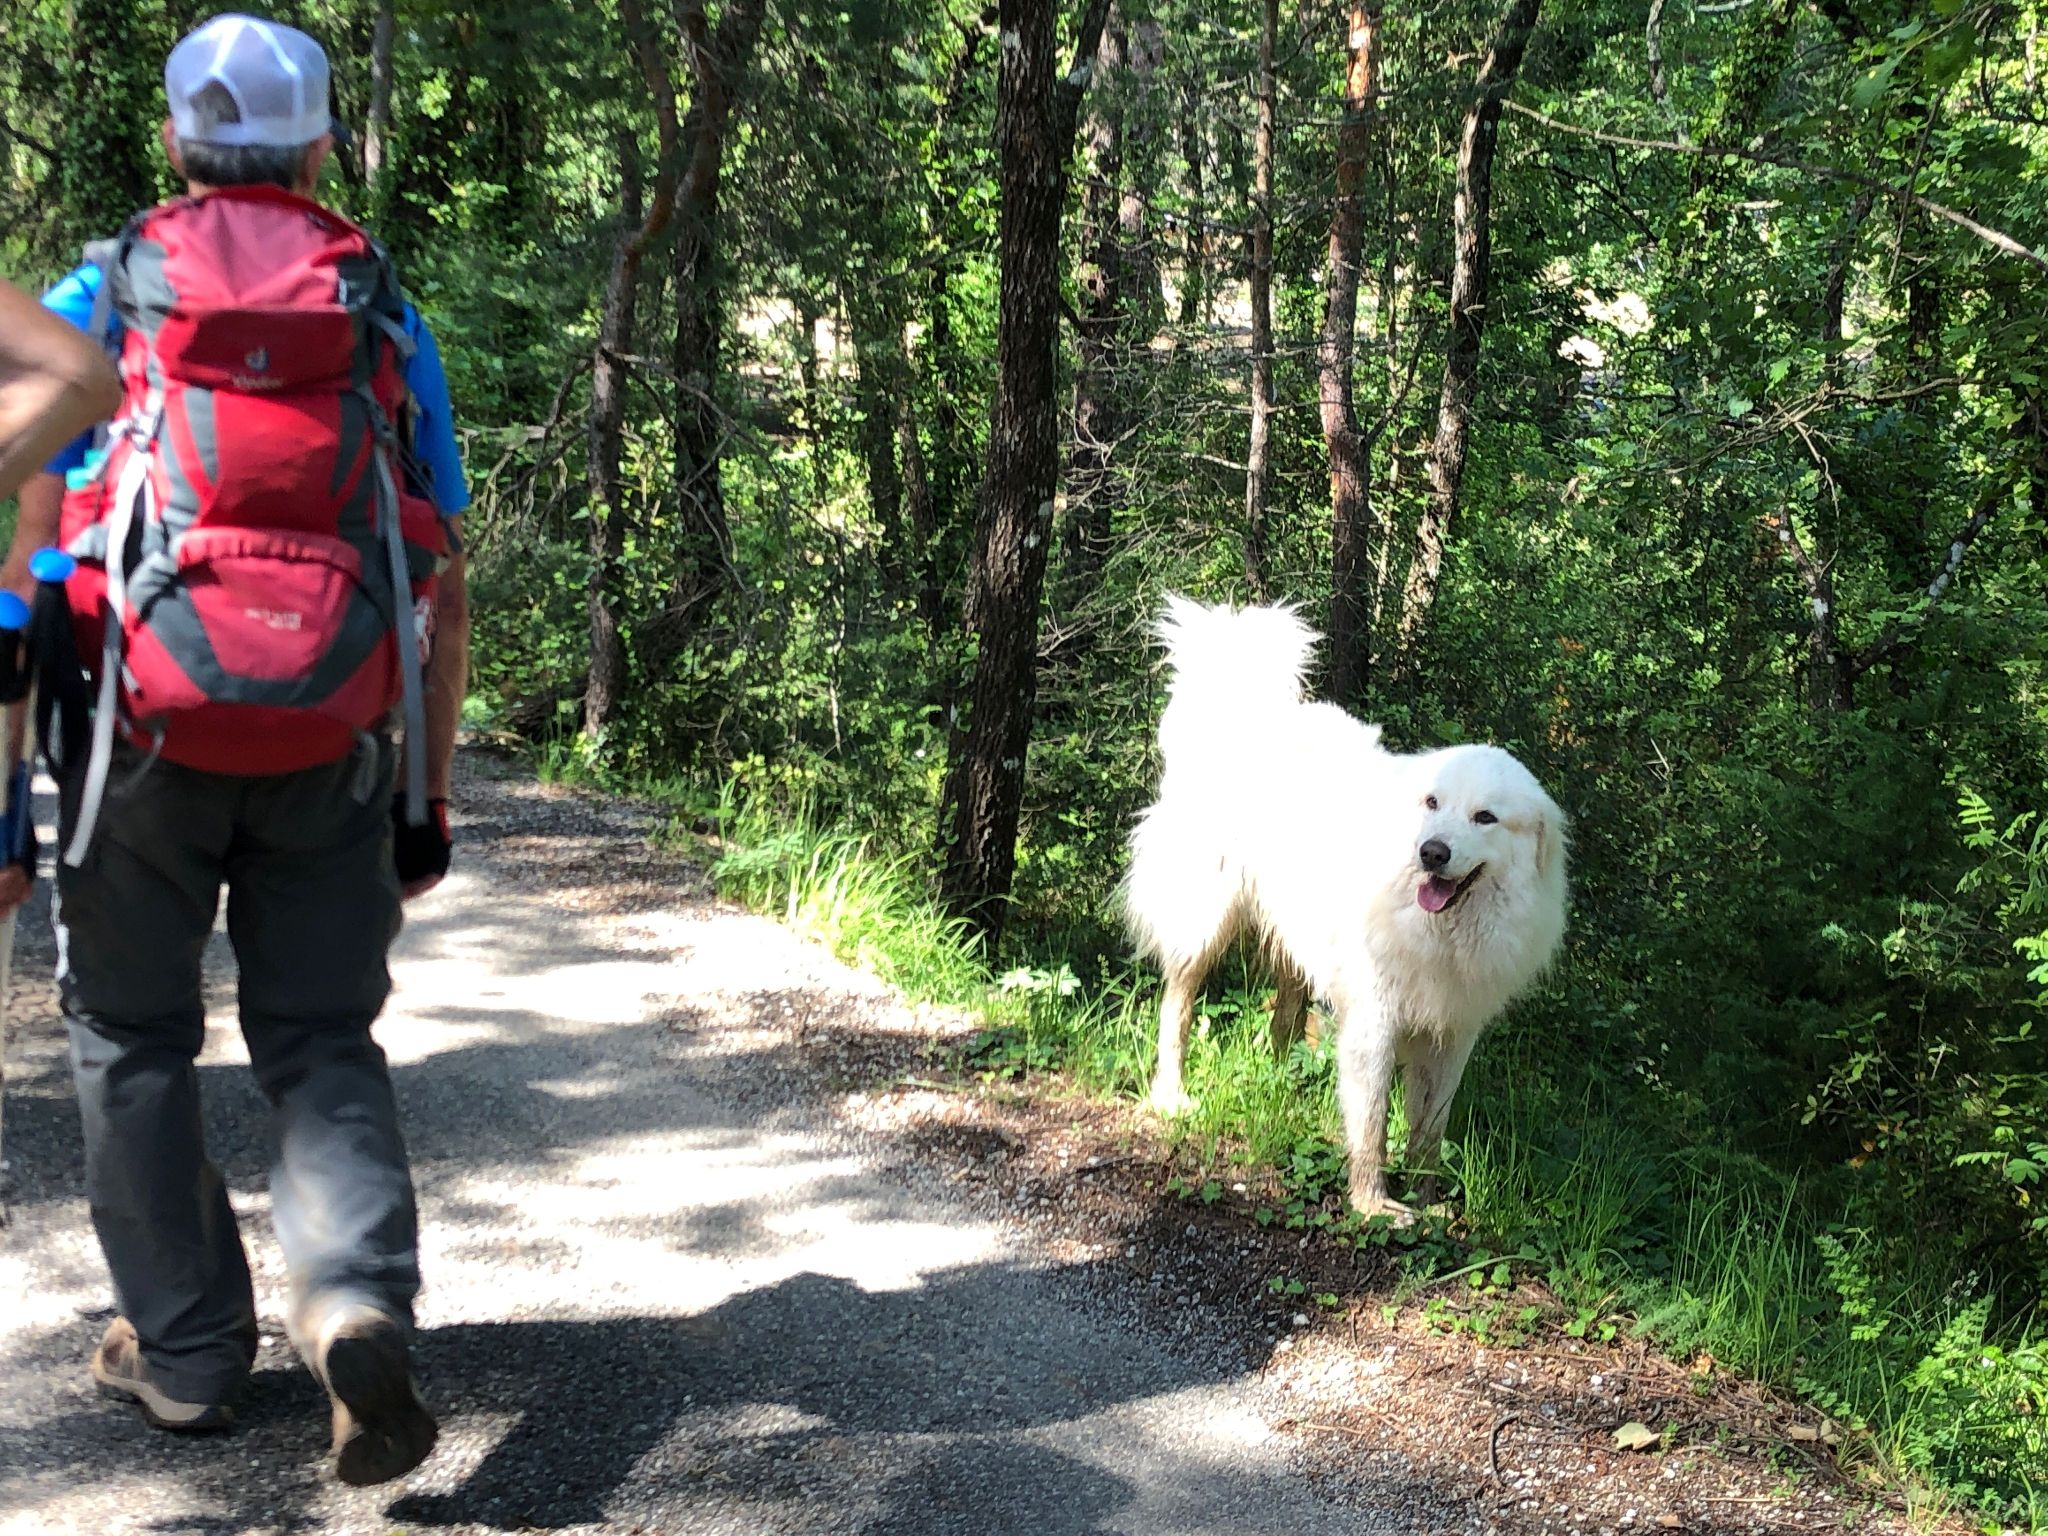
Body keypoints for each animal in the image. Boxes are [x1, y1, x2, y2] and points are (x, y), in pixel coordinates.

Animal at [1122, 596, 1568, 1221]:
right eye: (1432, 803)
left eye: (1485, 818)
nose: (1432, 853)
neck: (1438, 928)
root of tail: (1245, 710)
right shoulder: (1375, 1019)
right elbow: (1374, 1121)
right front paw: (1373, 1202)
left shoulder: (1454, 1030)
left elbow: (1430, 1129)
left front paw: (1429, 1201)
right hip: (1205, 920)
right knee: (1177, 1006)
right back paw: (1172, 1095)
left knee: (1283, 1016)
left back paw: (1281, 1082)